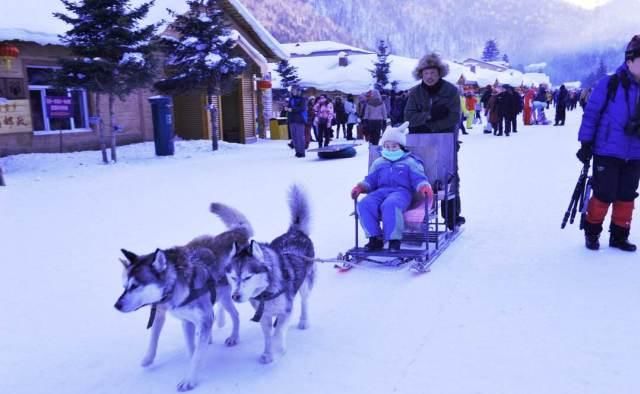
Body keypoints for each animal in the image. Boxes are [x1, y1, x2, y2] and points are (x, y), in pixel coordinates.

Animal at [115, 203, 252, 390]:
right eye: (124, 286)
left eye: (135, 286)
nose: (117, 305)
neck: (176, 284)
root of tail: (236, 232)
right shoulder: (184, 320)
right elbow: (191, 350)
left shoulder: (203, 319)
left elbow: (196, 355)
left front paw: (189, 380)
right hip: (222, 296)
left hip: (233, 294)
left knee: (235, 314)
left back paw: (233, 337)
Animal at [214, 185, 316, 364]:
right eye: (233, 277)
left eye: (247, 277)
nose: (235, 296)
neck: (267, 292)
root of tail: (295, 232)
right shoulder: (264, 316)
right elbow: (268, 336)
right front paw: (268, 354)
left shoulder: (286, 311)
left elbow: (277, 335)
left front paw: (278, 349)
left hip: (305, 284)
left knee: (304, 301)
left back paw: (304, 321)